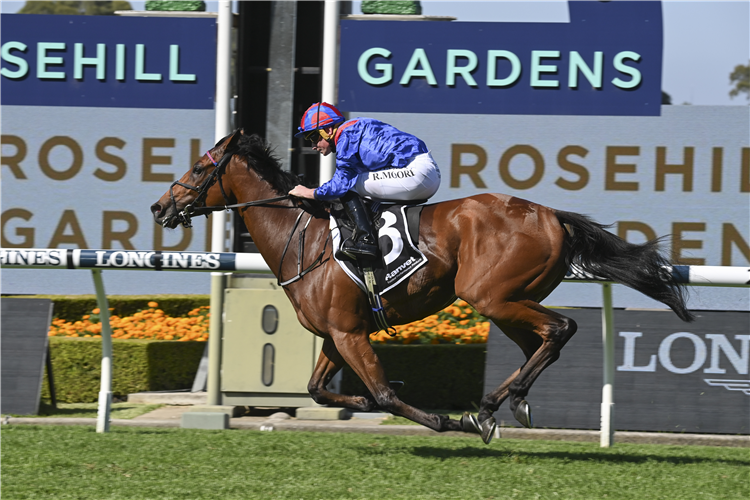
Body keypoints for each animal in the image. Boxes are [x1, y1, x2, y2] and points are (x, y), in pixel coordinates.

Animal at [150, 131, 696, 444]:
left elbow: (384, 395)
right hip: (507, 301)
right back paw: (502, 404)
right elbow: (317, 390)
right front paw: (360, 404)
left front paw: (442, 420)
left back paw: (488, 408)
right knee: (541, 343)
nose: (160, 207)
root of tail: (551, 215)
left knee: (561, 328)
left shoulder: (350, 333)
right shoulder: (336, 333)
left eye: (199, 168)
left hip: (491, 296)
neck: (302, 237)